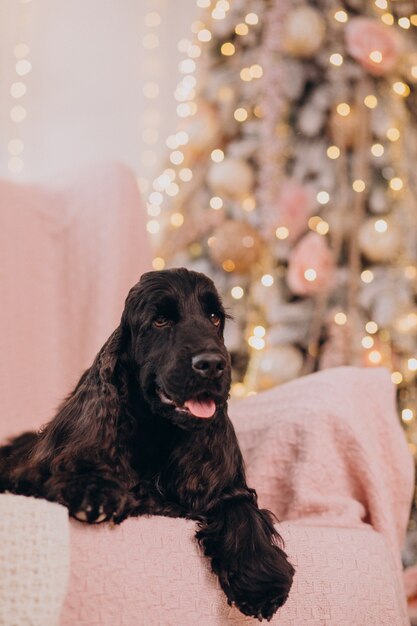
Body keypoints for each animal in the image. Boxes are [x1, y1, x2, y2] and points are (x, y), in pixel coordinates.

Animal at [0, 268, 292, 620]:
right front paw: (93, 489)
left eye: (214, 318)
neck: (158, 433)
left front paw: (261, 580)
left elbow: (240, 507)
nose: (212, 364)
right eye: (160, 320)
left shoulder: (221, 486)